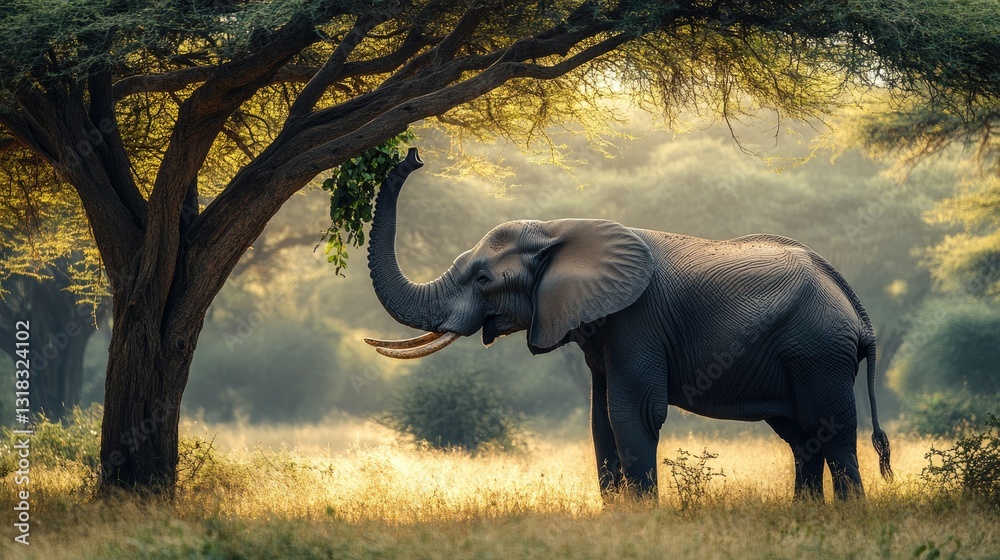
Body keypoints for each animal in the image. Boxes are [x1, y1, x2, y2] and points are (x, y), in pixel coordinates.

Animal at [365, 148, 892, 500]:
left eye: (482, 279)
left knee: (831, 431)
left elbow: (631, 414)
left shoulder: (636, 321)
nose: (412, 156)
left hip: (818, 351)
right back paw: (807, 514)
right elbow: (601, 419)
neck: (559, 229)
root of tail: (858, 311)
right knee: (802, 437)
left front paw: (642, 516)